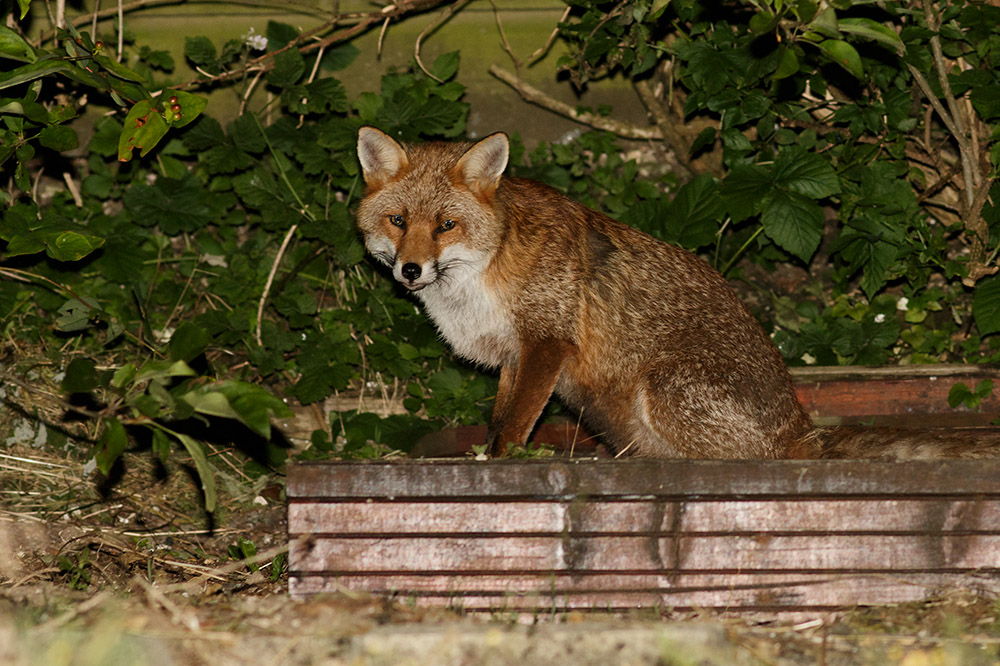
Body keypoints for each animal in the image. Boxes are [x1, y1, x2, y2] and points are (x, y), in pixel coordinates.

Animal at [355, 126, 1000, 460]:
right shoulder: (516, 354)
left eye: (446, 225)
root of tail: (801, 428)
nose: (410, 270)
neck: (483, 277)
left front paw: (505, 463)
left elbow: (514, 427)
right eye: (398, 221)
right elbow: (498, 419)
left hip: (661, 388)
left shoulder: (547, 342)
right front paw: (487, 453)